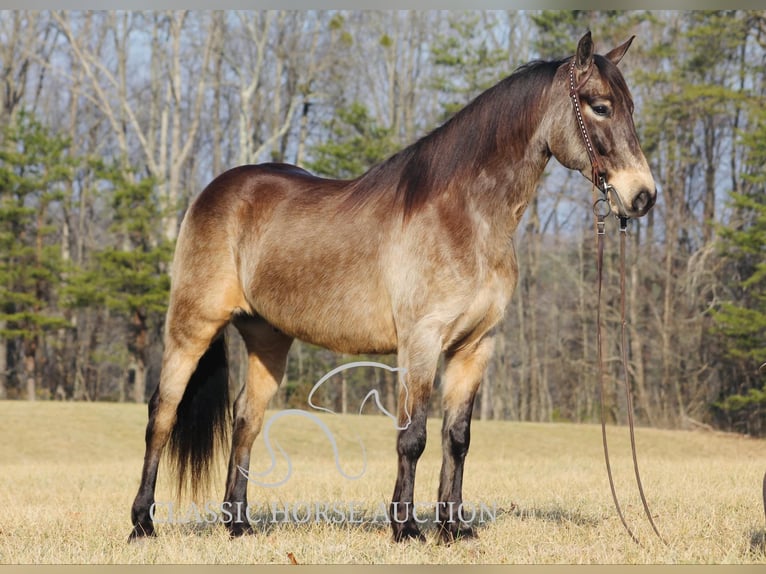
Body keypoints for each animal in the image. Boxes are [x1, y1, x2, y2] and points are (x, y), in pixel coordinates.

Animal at [129, 30, 656, 544]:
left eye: (631, 106)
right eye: (599, 106)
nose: (643, 196)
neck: (465, 217)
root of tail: (213, 192)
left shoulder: (474, 346)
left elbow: (457, 439)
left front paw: (454, 527)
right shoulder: (421, 341)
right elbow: (413, 436)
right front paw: (406, 527)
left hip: (267, 337)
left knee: (246, 420)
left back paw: (238, 524)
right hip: (192, 326)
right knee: (162, 413)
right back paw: (143, 523)